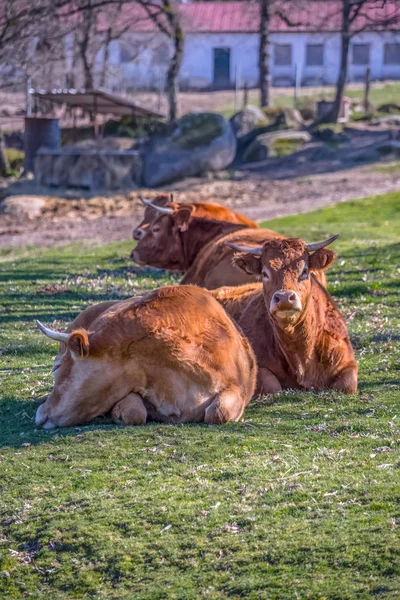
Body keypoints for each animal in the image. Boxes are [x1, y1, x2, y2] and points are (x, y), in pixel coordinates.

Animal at [211, 237, 358, 396]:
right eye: (264, 273)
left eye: (304, 271)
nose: (284, 298)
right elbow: (271, 386)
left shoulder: (348, 363)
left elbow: (346, 385)